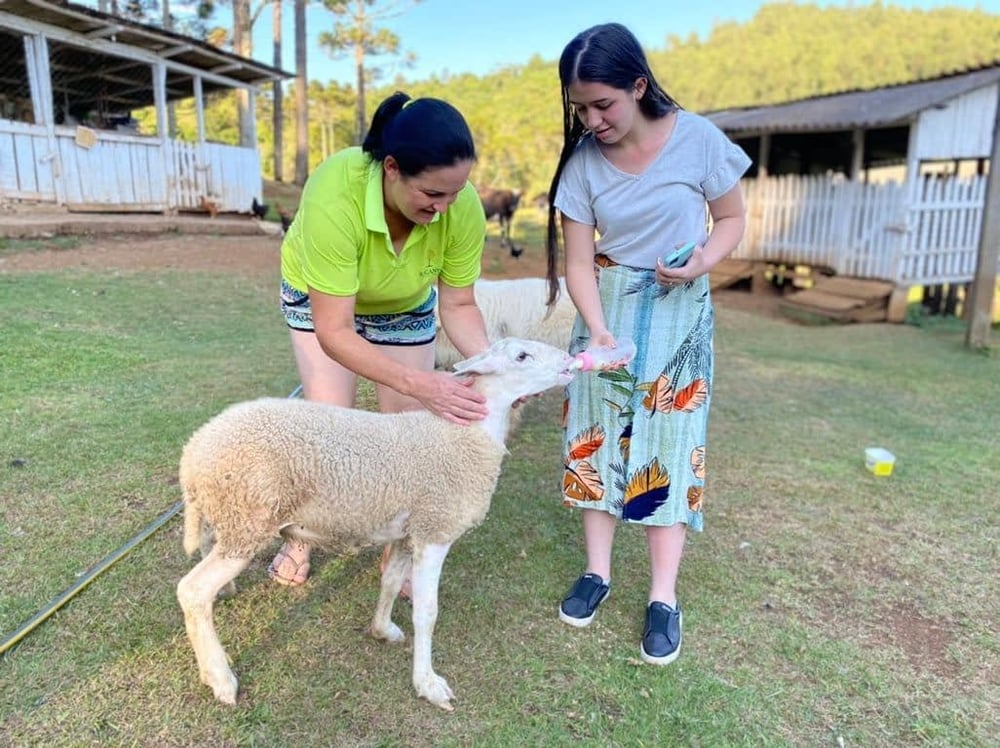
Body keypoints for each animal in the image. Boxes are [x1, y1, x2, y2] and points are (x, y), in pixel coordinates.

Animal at [176, 336, 576, 712]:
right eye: (522, 356)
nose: (571, 361)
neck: (464, 434)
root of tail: (193, 452)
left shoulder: (408, 532)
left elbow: (391, 581)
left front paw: (382, 629)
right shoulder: (435, 528)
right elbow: (427, 613)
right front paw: (427, 683)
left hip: (229, 517)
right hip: (248, 519)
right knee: (192, 591)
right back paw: (220, 678)